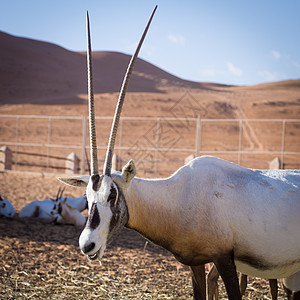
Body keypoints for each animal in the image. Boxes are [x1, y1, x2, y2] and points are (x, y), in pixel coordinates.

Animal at [58, 7, 300, 300]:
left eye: (112, 195)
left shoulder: (224, 258)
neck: (180, 196)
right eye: (87, 195)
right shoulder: (196, 263)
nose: (87, 245)